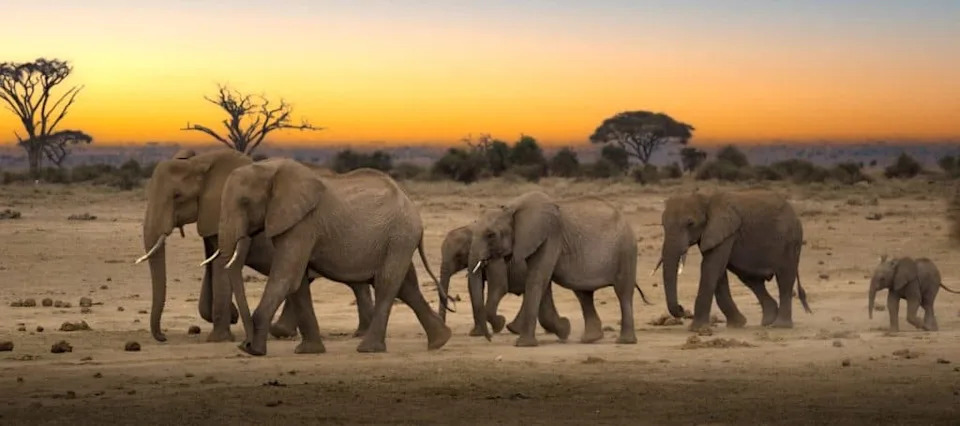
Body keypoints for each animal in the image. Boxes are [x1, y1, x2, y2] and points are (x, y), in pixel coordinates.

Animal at [135, 148, 374, 343]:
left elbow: (221, 268)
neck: (200, 162)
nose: (163, 337)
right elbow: (214, 262)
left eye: (177, 196)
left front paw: (219, 338)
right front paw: (231, 316)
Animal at [210, 158, 453, 355]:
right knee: (406, 286)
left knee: (387, 283)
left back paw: (368, 349)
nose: (246, 343)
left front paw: (254, 351)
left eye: (244, 202)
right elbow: (297, 282)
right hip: (398, 239)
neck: (271, 169)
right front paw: (308, 352)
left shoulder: (303, 223)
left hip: (400, 235)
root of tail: (412, 206)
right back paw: (441, 340)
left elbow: (286, 278)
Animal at [437, 225, 570, 340]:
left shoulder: (497, 260)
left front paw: (499, 324)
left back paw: (514, 328)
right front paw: (476, 334)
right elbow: (475, 288)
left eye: (458, 256)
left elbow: (499, 286)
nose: (446, 329)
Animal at [467, 191, 651, 347]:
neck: (511, 209)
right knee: (584, 294)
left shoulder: (550, 236)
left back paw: (625, 341)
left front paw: (524, 344)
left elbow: (537, 278)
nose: (489, 338)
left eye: (490, 235)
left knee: (622, 292)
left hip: (626, 251)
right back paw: (590, 339)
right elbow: (541, 282)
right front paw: (564, 330)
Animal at [657, 190, 812, 331]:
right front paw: (737, 324)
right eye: (663, 225)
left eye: (690, 223)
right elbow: (718, 272)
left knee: (785, 278)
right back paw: (767, 322)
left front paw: (698, 329)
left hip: (790, 242)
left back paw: (780, 326)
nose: (682, 309)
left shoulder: (725, 232)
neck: (707, 198)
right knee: (751, 280)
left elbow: (711, 267)